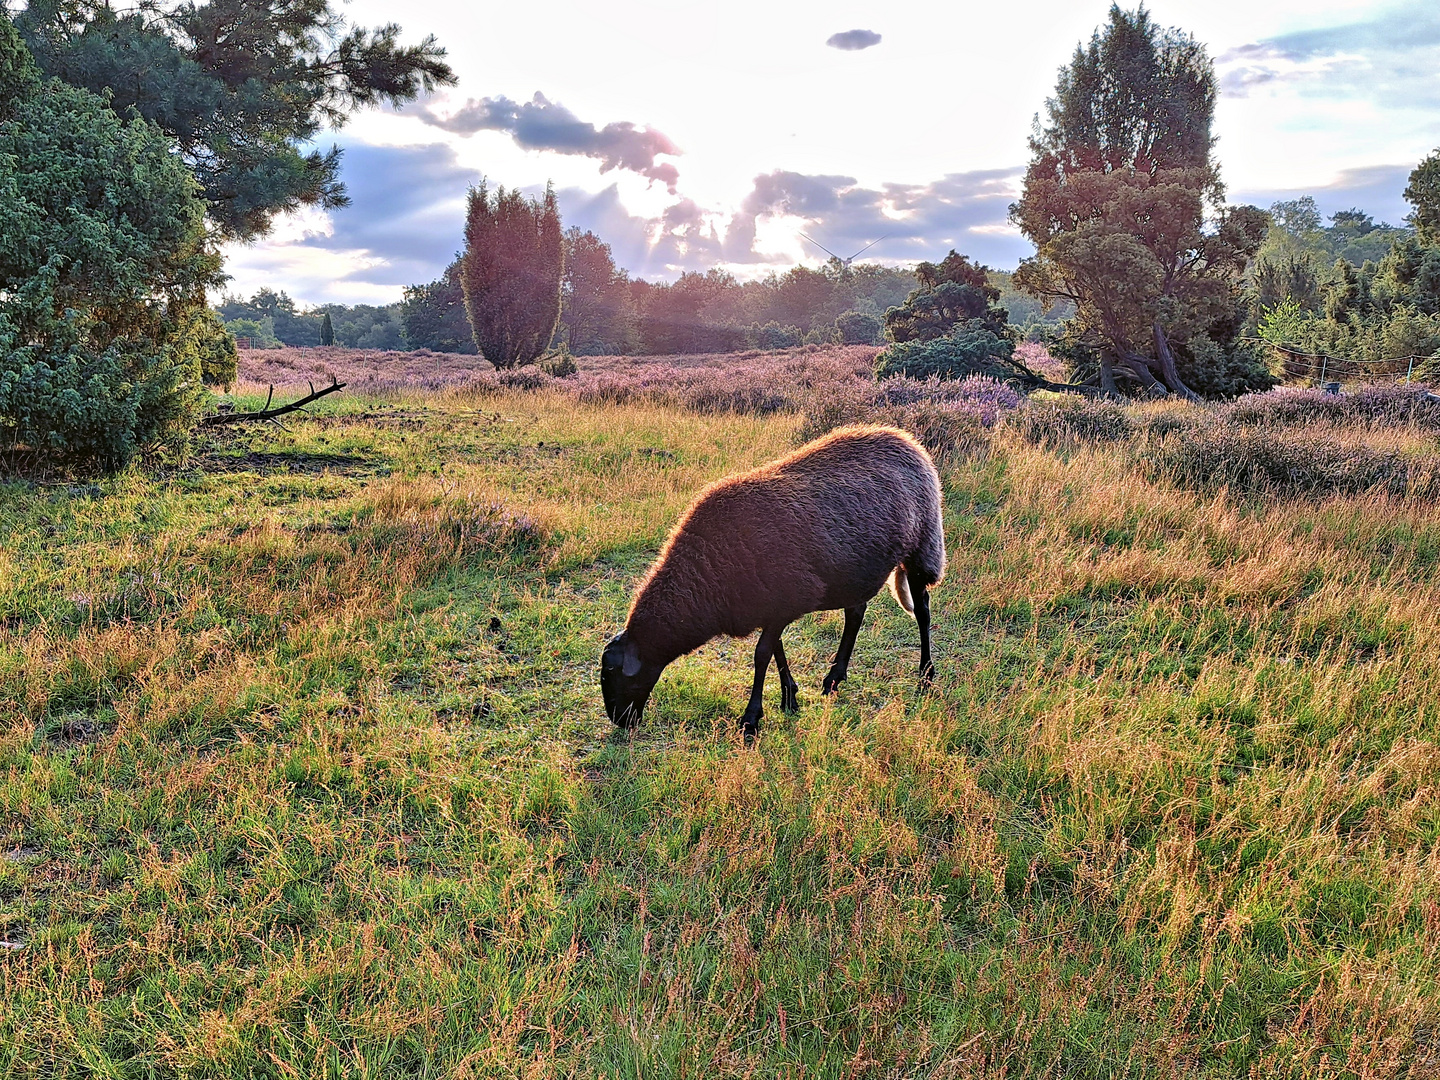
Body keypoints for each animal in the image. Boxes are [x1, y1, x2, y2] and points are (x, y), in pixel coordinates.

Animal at [599, 426, 944, 743]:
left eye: (612, 675)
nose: (621, 722)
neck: (706, 571)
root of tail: (906, 439)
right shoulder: (769, 602)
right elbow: (776, 649)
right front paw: (789, 696)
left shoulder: (785, 598)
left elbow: (762, 653)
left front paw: (752, 718)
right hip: (855, 570)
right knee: (855, 614)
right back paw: (834, 678)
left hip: (922, 545)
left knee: (922, 610)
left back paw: (925, 676)